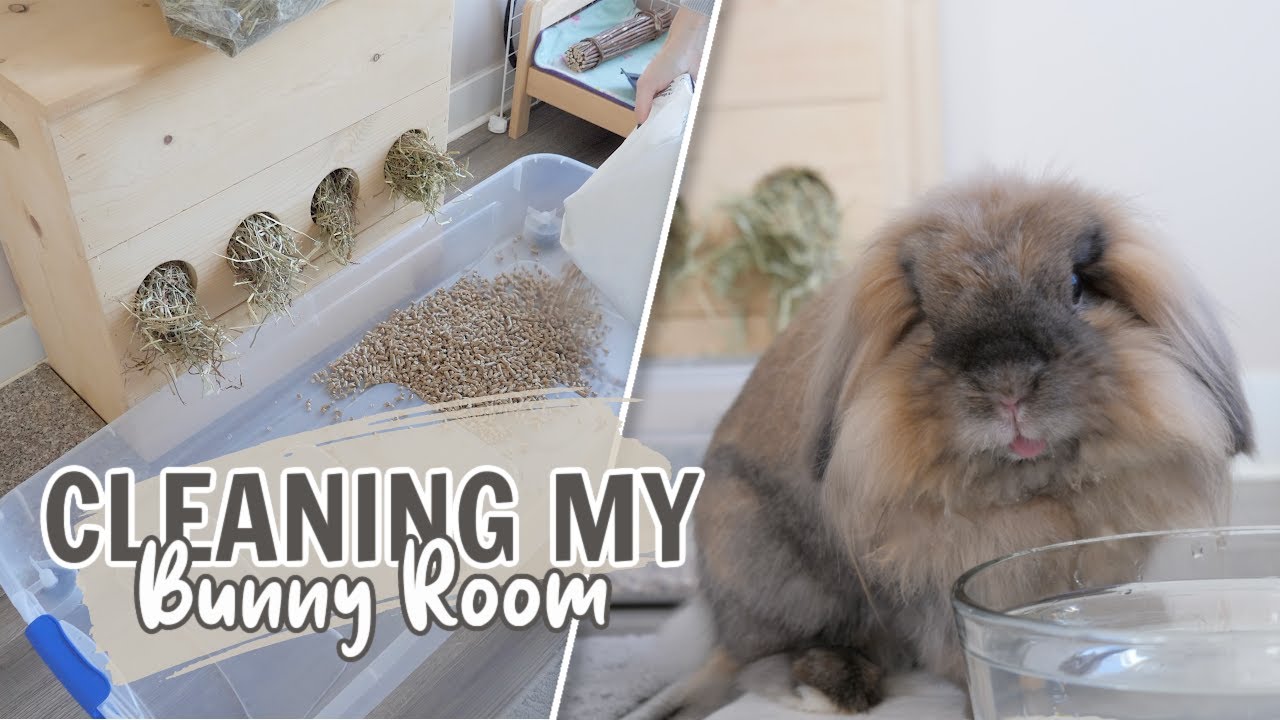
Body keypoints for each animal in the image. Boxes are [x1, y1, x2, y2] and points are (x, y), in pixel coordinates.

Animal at [624, 174, 1253, 719]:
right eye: (926, 313)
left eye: (1078, 287)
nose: (1008, 385)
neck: (1038, 496)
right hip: (769, 567)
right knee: (762, 660)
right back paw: (836, 687)